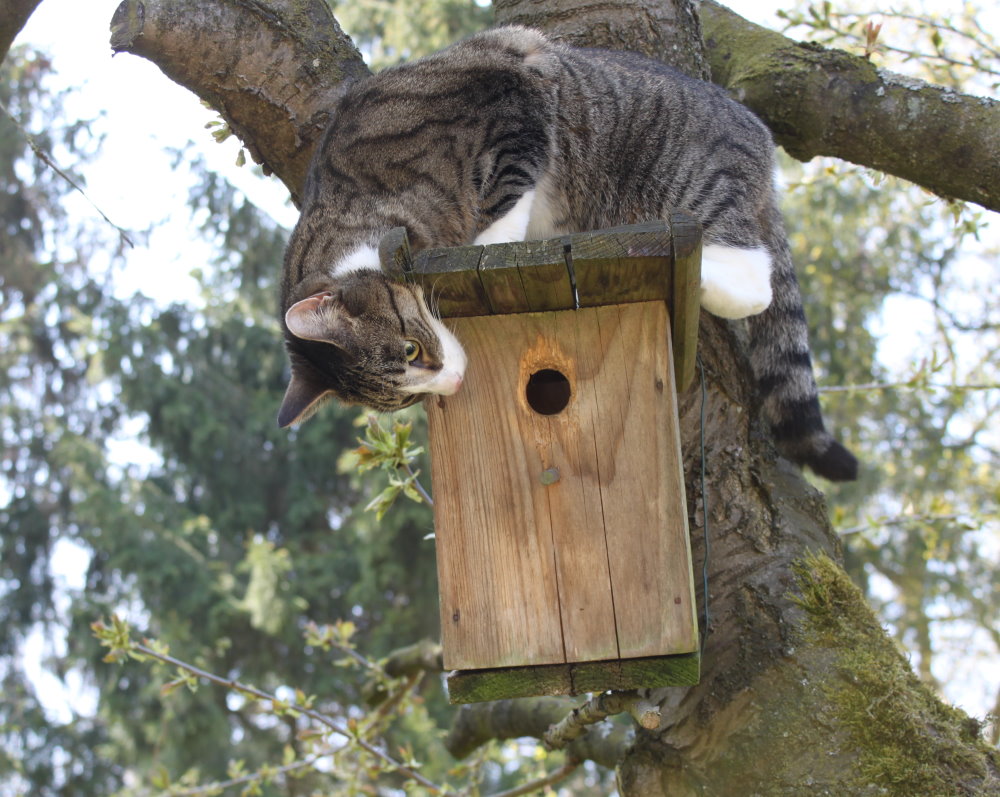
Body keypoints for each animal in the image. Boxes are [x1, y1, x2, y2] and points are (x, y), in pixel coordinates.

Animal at [280, 24, 860, 482]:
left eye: (410, 351)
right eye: (407, 398)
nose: (454, 381)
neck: (361, 204)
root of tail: (759, 138)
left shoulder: (514, 99)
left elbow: (507, 195)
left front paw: (485, 243)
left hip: (693, 180)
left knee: (754, 277)